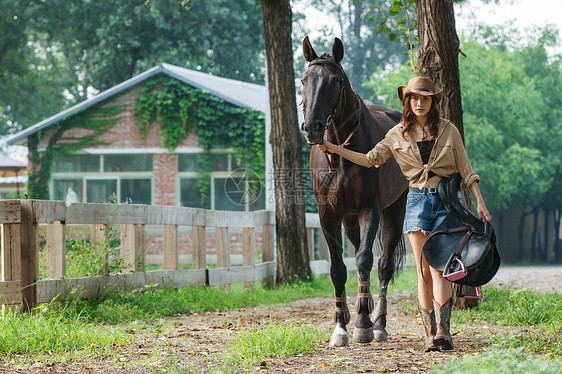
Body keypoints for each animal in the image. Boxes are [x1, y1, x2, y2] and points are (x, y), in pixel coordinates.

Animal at [302, 36, 406, 346]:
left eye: (335, 81)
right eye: (304, 80)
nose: (312, 127)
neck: (341, 155)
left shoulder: (369, 209)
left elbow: (364, 260)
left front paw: (363, 325)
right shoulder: (328, 215)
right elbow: (338, 268)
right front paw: (340, 326)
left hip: (395, 208)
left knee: (382, 264)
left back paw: (379, 322)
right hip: (349, 220)